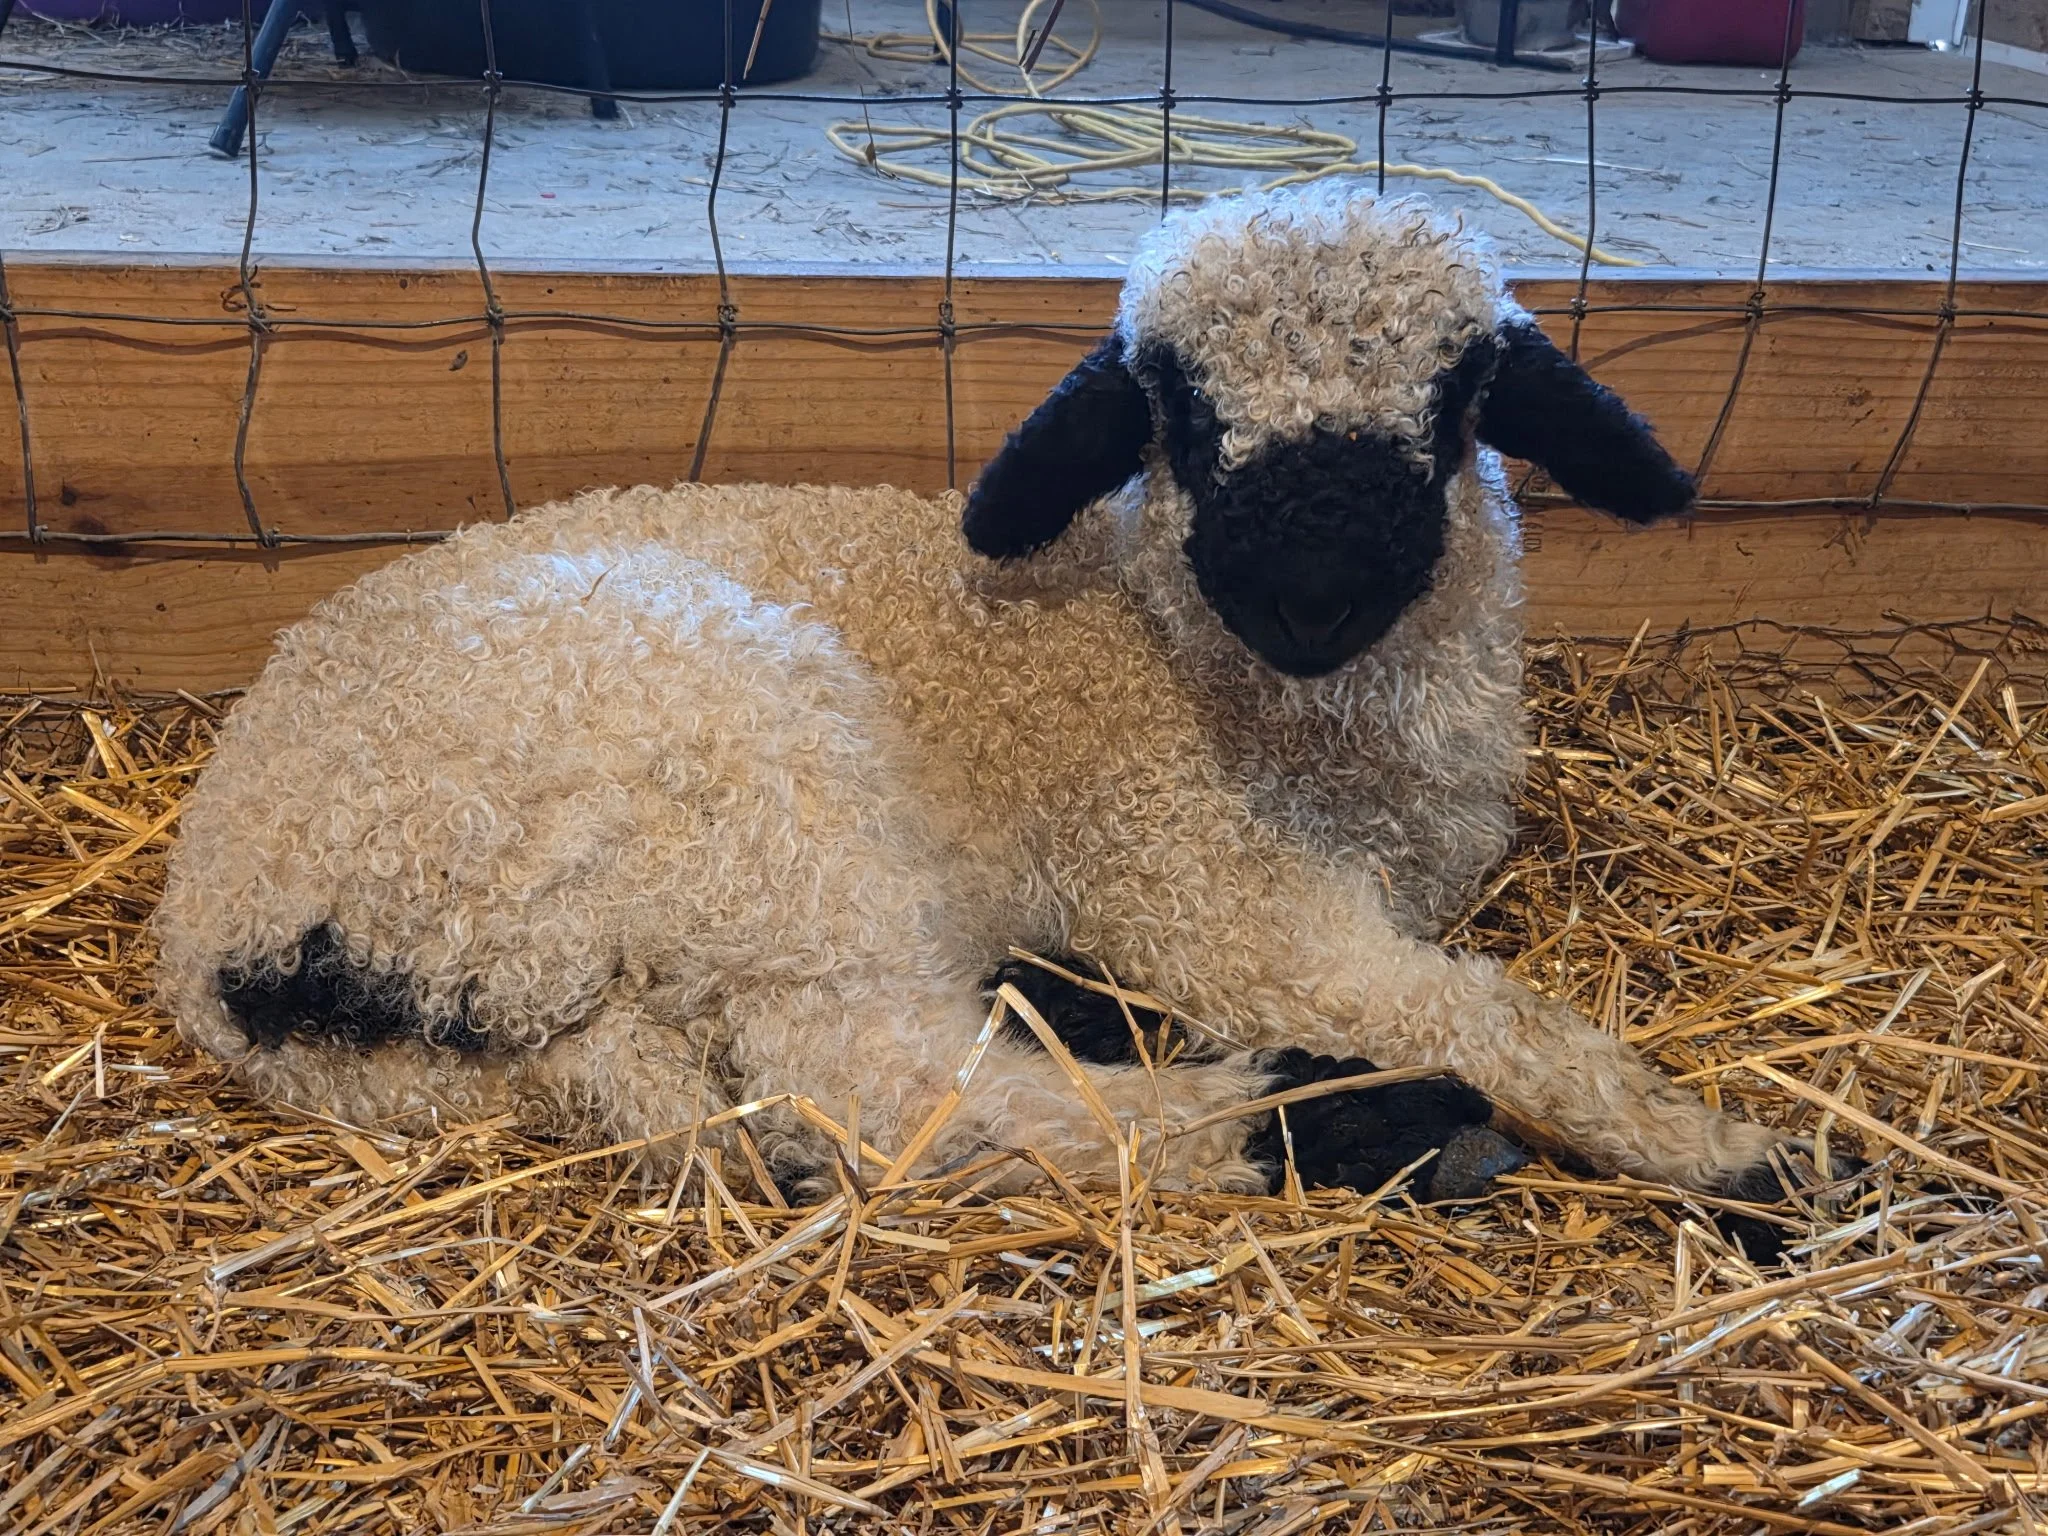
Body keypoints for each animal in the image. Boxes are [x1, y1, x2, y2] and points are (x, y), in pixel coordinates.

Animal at [155, 186, 1820, 1216]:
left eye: (1456, 399)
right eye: (1179, 415)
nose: (1311, 594)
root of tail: (227, 938)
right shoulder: (1198, 882)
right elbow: (1476, 1010)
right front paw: (1727, 1152)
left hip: (569, 1004)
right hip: (747, 774)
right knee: (873, 1086)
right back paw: (1331, 1121)